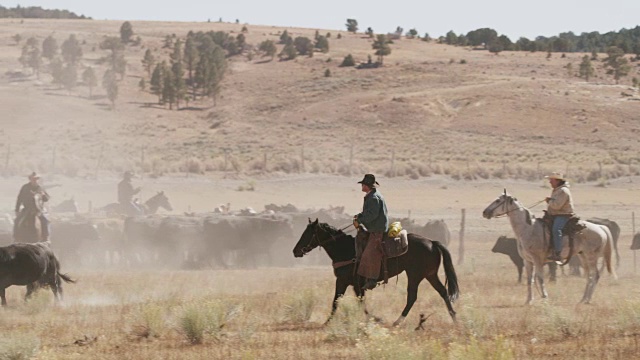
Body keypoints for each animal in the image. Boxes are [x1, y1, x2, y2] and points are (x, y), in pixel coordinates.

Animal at [292, 219, 458, 326]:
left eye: (307, 234)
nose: (295, 251)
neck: (345, 249)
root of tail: (432, 242)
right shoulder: (350, 283)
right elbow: (347, 301)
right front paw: (327, 322)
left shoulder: (347, 281)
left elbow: (342, 301)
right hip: (430, 275)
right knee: (443, 292)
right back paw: (455, 319)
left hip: (415, 275)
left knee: (412, 297)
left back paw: (398, 321)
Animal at [484, 190, 616, 306]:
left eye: (498, 200)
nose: (485, 212)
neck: (528, 229)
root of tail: (600, 227)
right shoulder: (527, 261)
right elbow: (529, 280)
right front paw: (528, 301)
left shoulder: (537, 260)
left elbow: (540, 278)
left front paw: (544, 298)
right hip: (583, 256)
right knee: (589, 276)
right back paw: (583, 299)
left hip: (591, 256)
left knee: (595, 275)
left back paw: (588, 299)